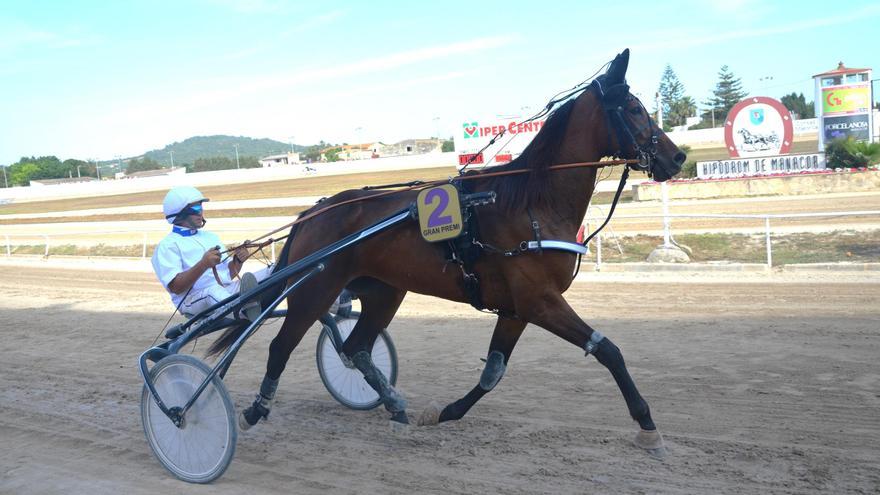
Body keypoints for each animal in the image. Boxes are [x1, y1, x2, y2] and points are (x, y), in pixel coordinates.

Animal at [208, 49, 688, 458]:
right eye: (634, 109)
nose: (678, 157)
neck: (532, 201)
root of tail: (315, 210)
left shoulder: (517, 308)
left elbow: (493, 372)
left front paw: (443, 412)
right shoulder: (539, 300)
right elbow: (608, 351)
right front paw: (648, 426)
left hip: (383, 291)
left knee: (356, 347)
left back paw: (395, 404)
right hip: (315, 289)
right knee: (281, 346)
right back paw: (254, 410)